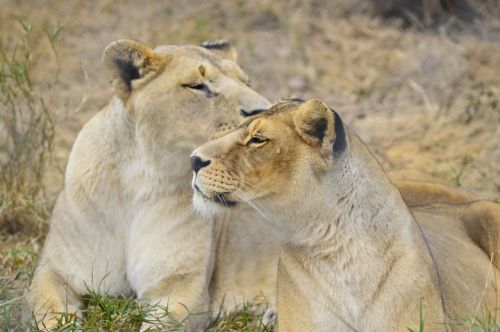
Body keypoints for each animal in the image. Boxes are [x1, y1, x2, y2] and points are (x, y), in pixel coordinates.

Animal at [26, 39, 274, 330]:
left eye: (247, 82)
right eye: (196, 85)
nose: (263, 112)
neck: (140, 180)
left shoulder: (183, 286)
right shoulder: (53, 272)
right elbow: (53, 316)